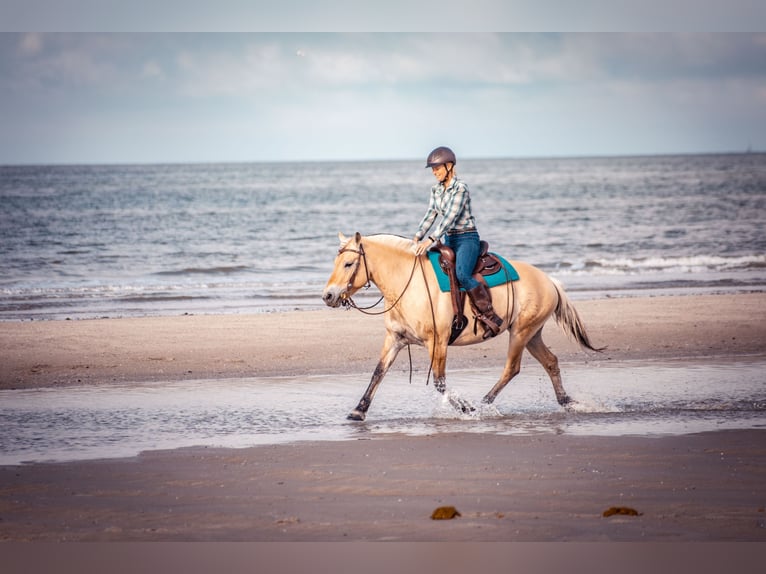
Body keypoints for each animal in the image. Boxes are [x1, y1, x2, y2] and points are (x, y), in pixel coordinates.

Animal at [320, 233, 604, 424]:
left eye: (348, 264)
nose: (328, 296)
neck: (408, 284)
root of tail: (549, 281)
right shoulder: (396, 339)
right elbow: (378, 373)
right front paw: (358, 410)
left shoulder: (438, 342)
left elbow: (440, 383)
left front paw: (466, 408)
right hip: (532, 334)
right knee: (550, 362)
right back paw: (567, 402)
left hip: (520, 333)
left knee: (511, 368)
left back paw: (483, 404)